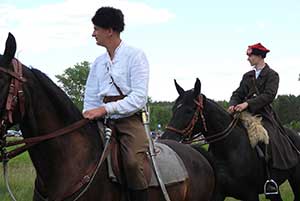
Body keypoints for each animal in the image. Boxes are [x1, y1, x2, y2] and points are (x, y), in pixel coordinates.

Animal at [162, 78, 300, 201]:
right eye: (173, 109)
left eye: (189, 111)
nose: (167, 138)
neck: (229, 148)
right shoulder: (218, 194)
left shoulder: (251, 195)